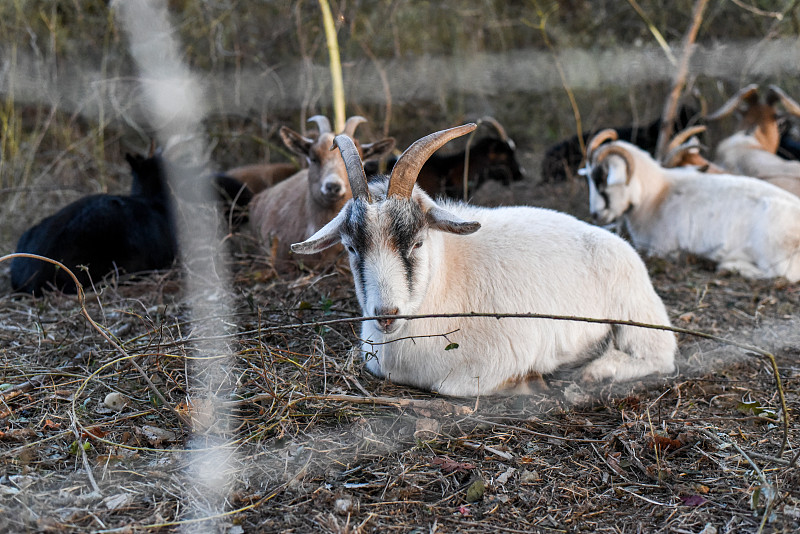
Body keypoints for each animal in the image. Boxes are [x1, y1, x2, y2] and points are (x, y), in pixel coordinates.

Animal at [290, 126, 680, 398]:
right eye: (352, 247)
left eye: (417, 242)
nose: (386, 315)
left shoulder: (495, 361)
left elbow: (451, 387)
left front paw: (531, 381)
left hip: (638, 319)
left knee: (659, 357)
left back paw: (593, 370)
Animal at [580, 129, 800, 284]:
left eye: (601, 177)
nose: (596, 215)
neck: (657, 195)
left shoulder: (662, 249)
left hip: (773, 249)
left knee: (781, 275)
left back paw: (728, 263)